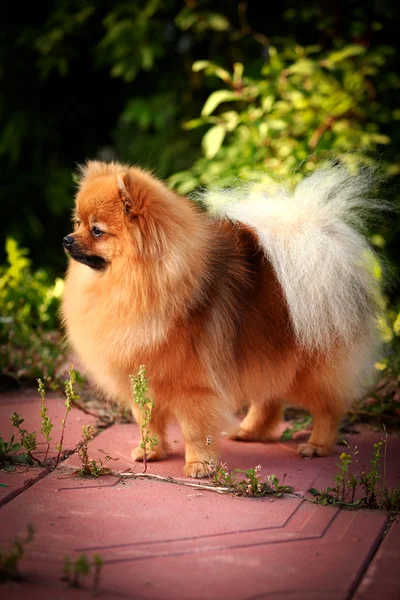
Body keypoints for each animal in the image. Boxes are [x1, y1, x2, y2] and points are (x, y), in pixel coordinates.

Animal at [62, 161, 382, 478]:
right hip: (269, 355)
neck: (137, 281)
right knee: (270, 398)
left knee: (328, 408)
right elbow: (147, 421)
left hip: (310, 369)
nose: (66, 239)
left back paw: (317, 445)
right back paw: (250, 432)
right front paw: (150, 451)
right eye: (77, 223)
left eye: (97, 231)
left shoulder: (192, 386)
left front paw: (199, 465)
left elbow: (194, 429)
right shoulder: (142, 379)